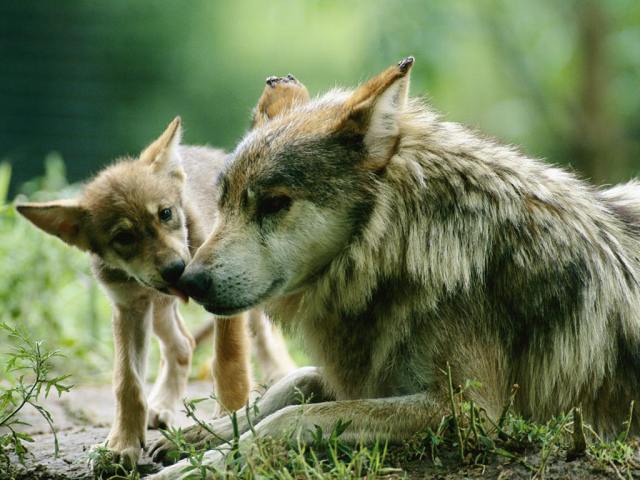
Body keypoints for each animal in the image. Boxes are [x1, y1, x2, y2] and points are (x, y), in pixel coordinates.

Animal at [152, 57, 640, 476]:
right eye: (224, 202)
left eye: (274, 203)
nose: (189, 281)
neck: (407, 247)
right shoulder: (368, 375)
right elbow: (290, 386)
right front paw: (190, 438)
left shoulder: (469, 412)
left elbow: (292, 417)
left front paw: (197, 466)